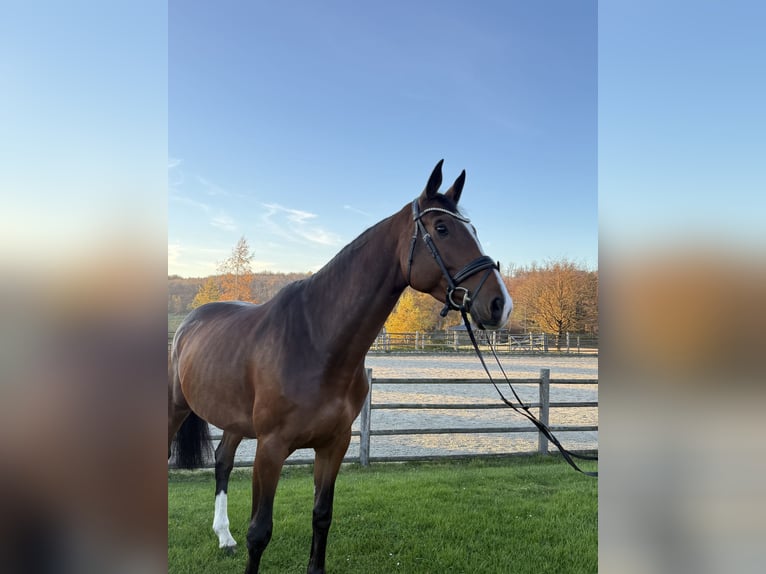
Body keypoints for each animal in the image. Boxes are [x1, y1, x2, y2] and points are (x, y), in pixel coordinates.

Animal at [168, 160, 513, 574]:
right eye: (442, 228)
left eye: (473, 230)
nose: (500, 304)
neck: (316, 342)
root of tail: (189, 322)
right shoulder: (271, 449)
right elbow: (260, 531)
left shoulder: (334, 445)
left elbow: (321, 516)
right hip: (175, 408)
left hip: (234, 422)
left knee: (222, 461)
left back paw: (224, 537)